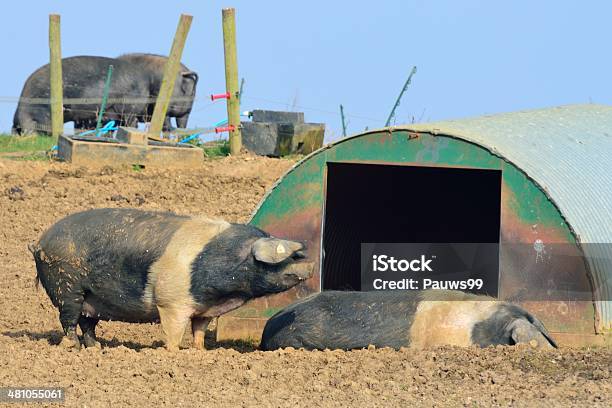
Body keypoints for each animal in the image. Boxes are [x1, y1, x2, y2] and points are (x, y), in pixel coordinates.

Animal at [29, 209, 314, 350]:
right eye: (287, 257)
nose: (310, 264)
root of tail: (40, 242)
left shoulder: (204, 309)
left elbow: (199, 331)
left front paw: (199, 352)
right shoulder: (171, 303)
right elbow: (174, 334)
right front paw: (174, 354)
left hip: (93, 299)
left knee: (87, 323)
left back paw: (96, 348)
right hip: (67, 286)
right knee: (69, 320)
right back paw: (74, 347)